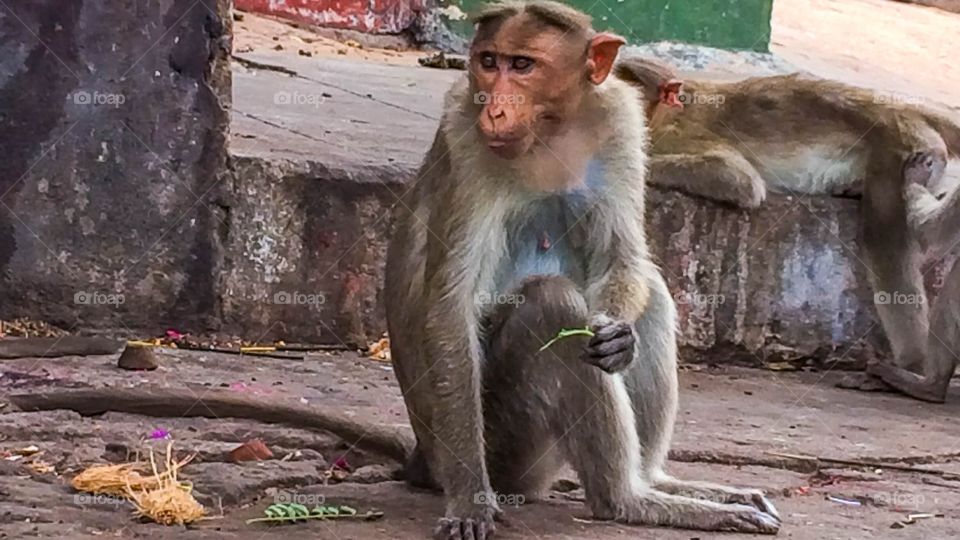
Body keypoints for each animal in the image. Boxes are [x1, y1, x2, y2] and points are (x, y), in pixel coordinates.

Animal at [385, 2, 780, 539]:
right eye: (488, 60)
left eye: (522, 65)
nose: (494, 108)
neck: (551, 129)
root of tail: (421, 461)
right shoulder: (465, 143)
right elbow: (451, 305)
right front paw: (470, 503)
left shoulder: (620, 121)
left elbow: (622, 258)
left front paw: (619, 338)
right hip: (510, 450)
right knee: (550, 306)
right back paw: (628, 501)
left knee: (650, 292)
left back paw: (661, 483)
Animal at [615, 56, 960, 400]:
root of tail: (902, 108)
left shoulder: (678, 135)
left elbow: (738, 180)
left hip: (902, 152)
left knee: (884, 239)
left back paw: (914, 373)